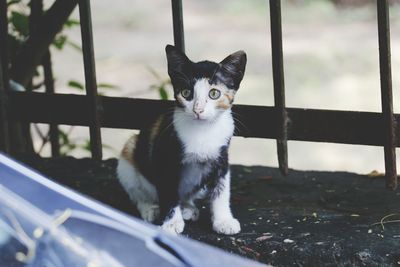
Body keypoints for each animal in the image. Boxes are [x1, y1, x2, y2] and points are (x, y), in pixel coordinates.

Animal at [116, 45, 247, 236]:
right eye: (186, 93)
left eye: (214, 93)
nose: (198, 110)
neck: (203, 131)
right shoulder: (167, 158)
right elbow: (169, 192)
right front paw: (171, 223)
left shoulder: (222, 158)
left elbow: (221, 190)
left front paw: (224, 221)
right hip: (129, 155)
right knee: (138, 194)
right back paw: (150, 209)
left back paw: (187, 207)